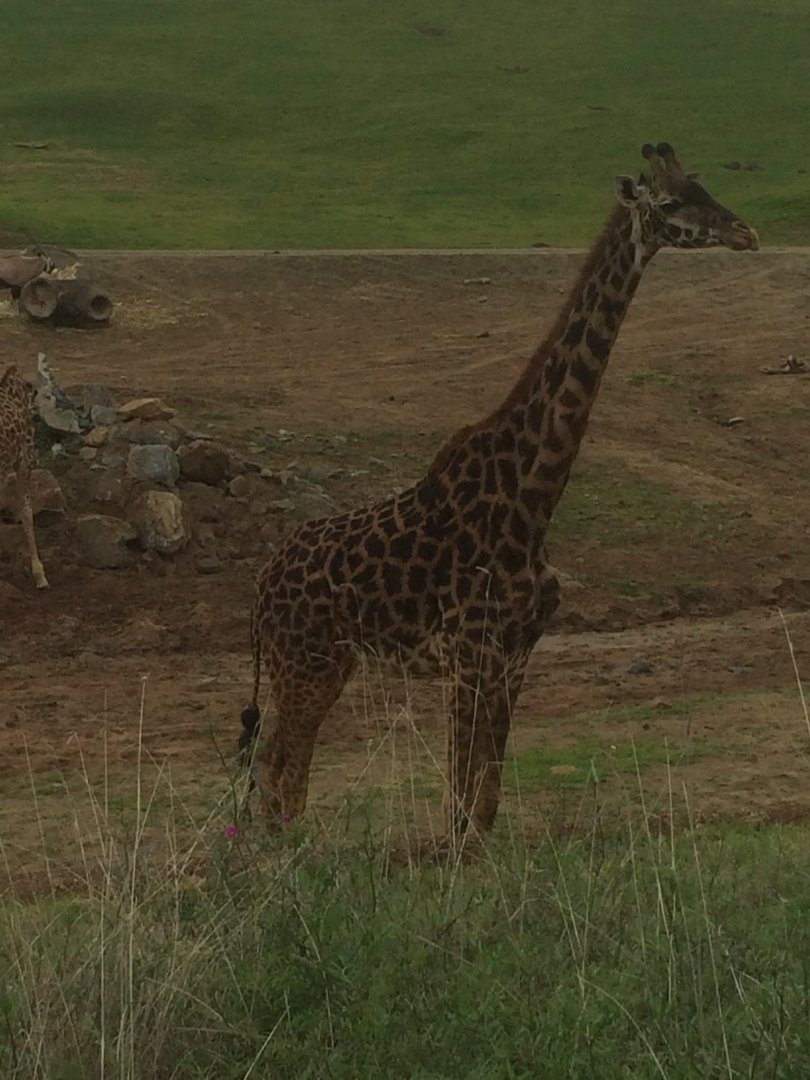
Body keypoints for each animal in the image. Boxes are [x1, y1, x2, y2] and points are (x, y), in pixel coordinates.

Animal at [238, 142, 758, 835]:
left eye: (706, 188)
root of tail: (260, 586)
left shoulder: (516, 654)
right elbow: (460, 805)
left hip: (328, 663)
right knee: (279, 774)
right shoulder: (469, 654)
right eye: (672, 201)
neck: (532, 496)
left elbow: (483, 804)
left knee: (280, 775)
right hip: (305, 663)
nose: (746, 233)